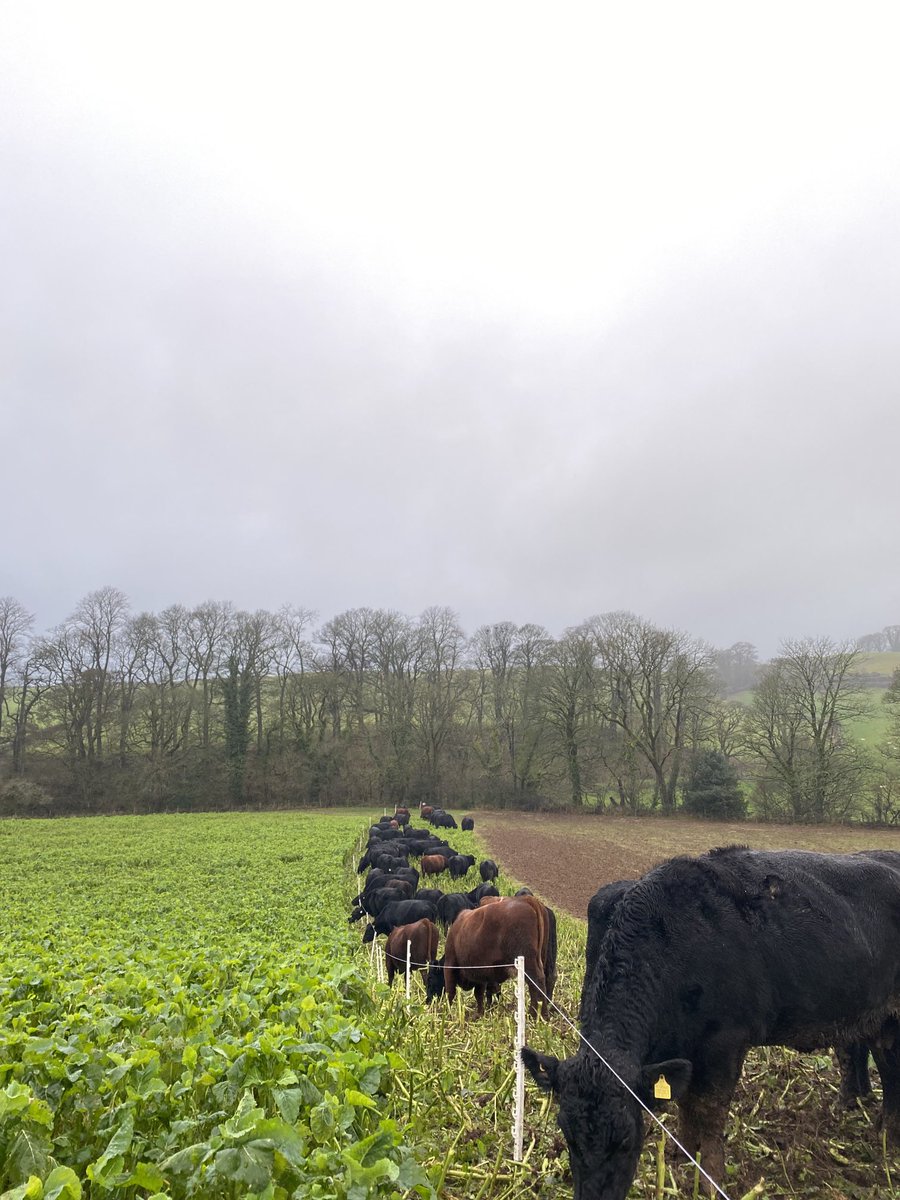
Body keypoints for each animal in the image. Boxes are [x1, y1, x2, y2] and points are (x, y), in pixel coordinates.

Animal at [427, 897, 556, 1017]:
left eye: (430, 978)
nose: (428, 1001)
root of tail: (527, 900)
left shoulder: (450, 964)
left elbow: (451, 992)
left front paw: (446, 1013)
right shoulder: (480, 973)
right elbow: (480, 994)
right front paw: (481, 1013)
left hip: (528, 961)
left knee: (536, 982)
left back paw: (536, 1014)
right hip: (541, 959)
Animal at [520, 844, 900, 1200]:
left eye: (627, 1139)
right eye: (568, 1135)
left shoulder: (725, 1043)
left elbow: (710, 1110)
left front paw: (710, 1179)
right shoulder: (686, 1050)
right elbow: (687, 1104)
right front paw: (683, 1155)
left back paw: (887, 1136)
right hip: (879, 1021)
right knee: (885, 1064)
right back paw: (877, 1128)